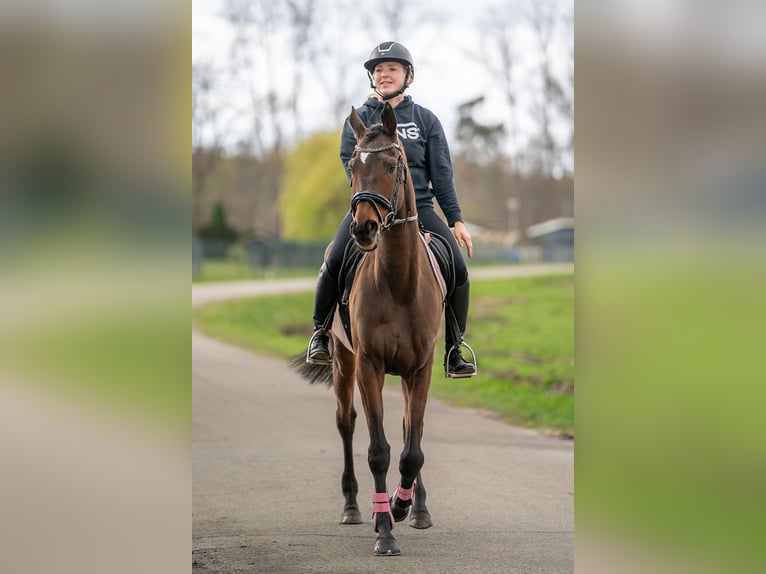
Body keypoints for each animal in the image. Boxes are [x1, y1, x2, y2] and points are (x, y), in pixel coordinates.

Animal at [295, 102, 444, 556]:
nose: (363, 228)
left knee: (410, 431)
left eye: (394, 164)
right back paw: (352, 506)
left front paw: (402, 506)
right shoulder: (368, 364)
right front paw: (384, 529)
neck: (398, 281)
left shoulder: (421, 368)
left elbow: (412, 450)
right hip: (343, 363)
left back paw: (417, 508)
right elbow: (378, 450)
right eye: (353, 166)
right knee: (346, 422)